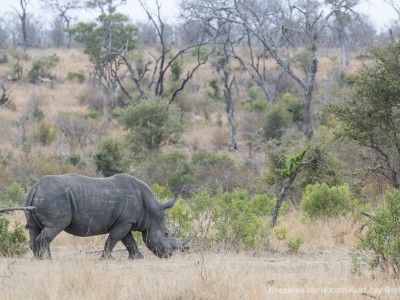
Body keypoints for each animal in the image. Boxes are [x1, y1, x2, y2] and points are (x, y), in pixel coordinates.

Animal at [24, 175, 193, 258]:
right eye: (166, 234)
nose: (168, 255)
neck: (151, 213)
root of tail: (35, 186)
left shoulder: (126, 221)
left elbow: (128, 240)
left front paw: (137, 257)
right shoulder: (124, 221)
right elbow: (114, 238)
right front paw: (106, 258)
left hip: (41, 196)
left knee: (35, 228)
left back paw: (39, 259)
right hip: (54, 196)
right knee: (53, 228)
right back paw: (46, 259)